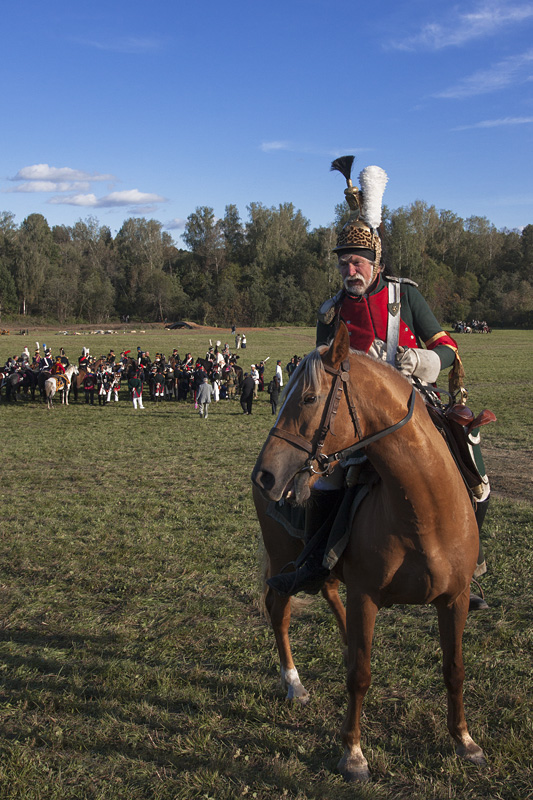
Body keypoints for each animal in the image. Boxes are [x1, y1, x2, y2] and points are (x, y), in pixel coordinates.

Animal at [251, 324, 484, 780]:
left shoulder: (456, 599)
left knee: (326, 591)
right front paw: (353, 753)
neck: (424, 509)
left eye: (309, 398)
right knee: (279, 610)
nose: (266, 476)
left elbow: (455, 669)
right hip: (283, 555)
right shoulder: (366, 596)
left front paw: (464, 739)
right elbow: (359, 675)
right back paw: (294, 683)